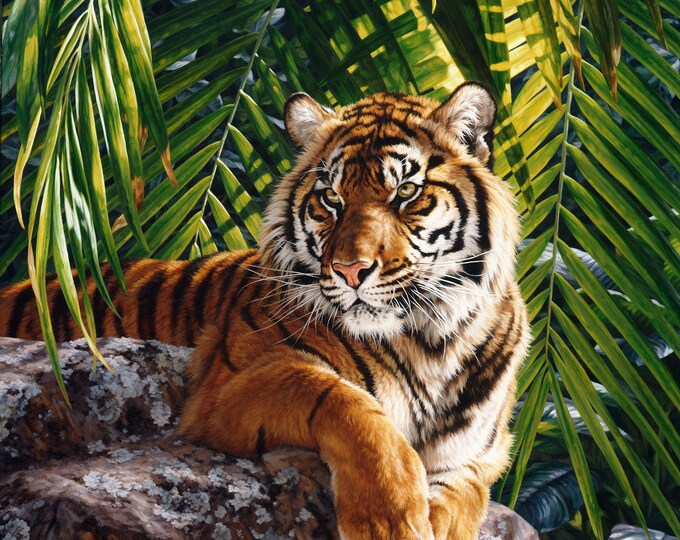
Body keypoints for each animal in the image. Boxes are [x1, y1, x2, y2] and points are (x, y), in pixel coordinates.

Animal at [0, 82, 530, 540]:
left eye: (405, 193)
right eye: (331, 198)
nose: (351, 270)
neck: (430, 337)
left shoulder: (481, 451)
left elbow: (462, 494)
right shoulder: (226, 386)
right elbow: (351, 408)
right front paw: (389, 521)